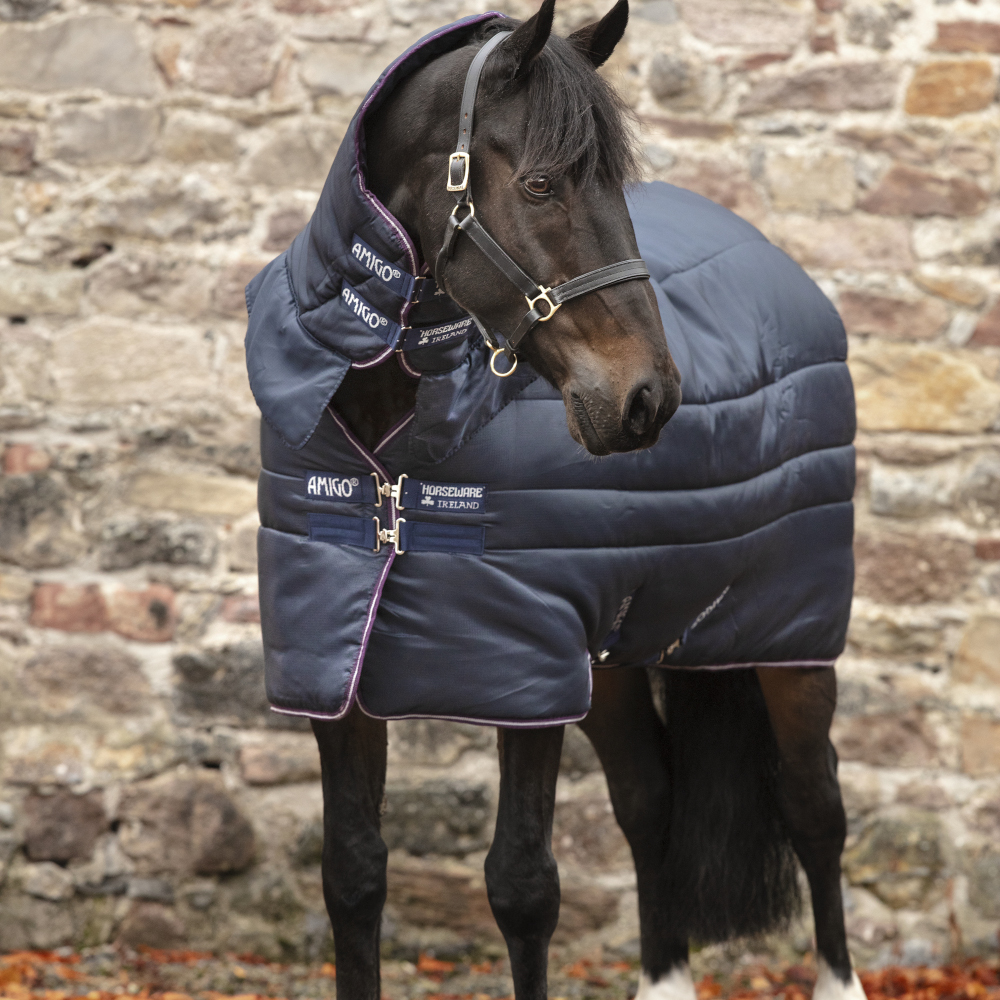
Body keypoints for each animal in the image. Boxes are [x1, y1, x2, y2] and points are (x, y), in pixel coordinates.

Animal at [243, 3, 862, 999]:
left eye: (617, 186)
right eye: (539, 185)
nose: (648, 398)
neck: (392, 471)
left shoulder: (523, 672)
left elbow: (523, 886)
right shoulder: (341, 670)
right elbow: (353, 873)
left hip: (790, 636)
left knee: (816, 806)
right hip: (615, 651)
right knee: (651, 803)